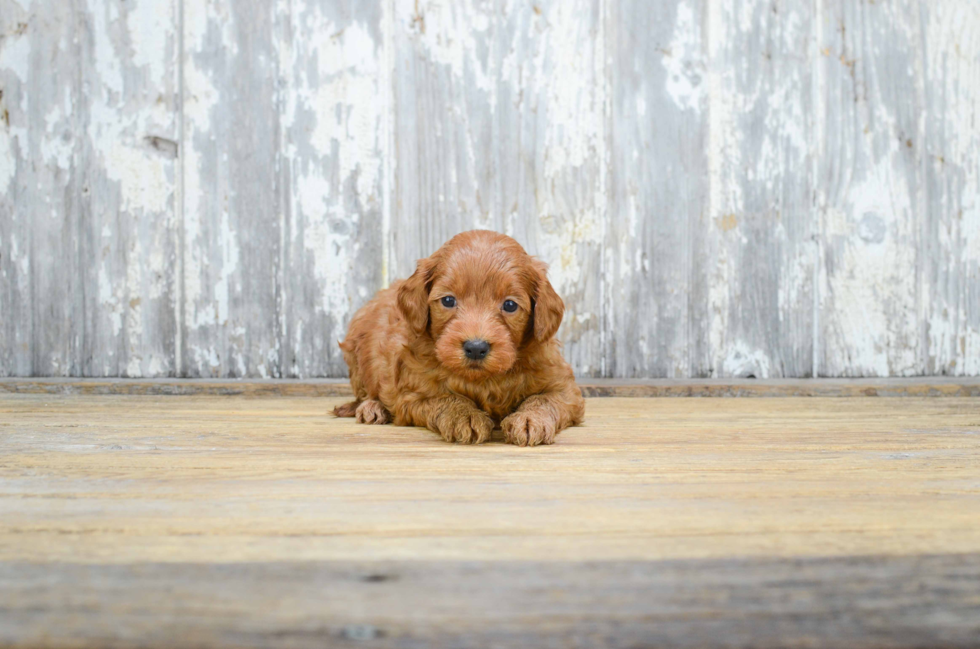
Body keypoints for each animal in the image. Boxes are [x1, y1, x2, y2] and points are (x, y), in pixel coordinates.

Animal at [334, 230, 584, 448]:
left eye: (510, 305)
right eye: (448, 300)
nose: (476, 347)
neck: (484, 380)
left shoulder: (563, 386)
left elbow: (544, 400)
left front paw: (531, 419)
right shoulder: (412, 394)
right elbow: (445, 398)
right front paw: (465, 416)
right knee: (366, 392)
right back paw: (372, 407)